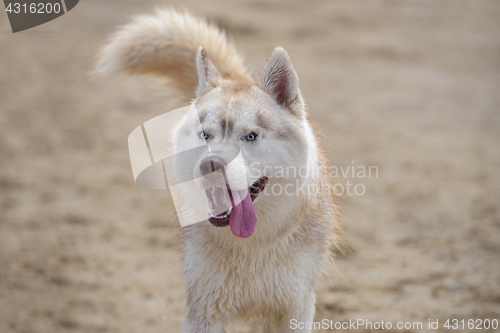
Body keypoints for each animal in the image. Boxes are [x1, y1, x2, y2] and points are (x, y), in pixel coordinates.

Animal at [96, 7, 342, 332]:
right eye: (206, 135)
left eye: (250, 136)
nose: (210, 165)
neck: (252, 246)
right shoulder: (204, 310)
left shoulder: (295, 309)